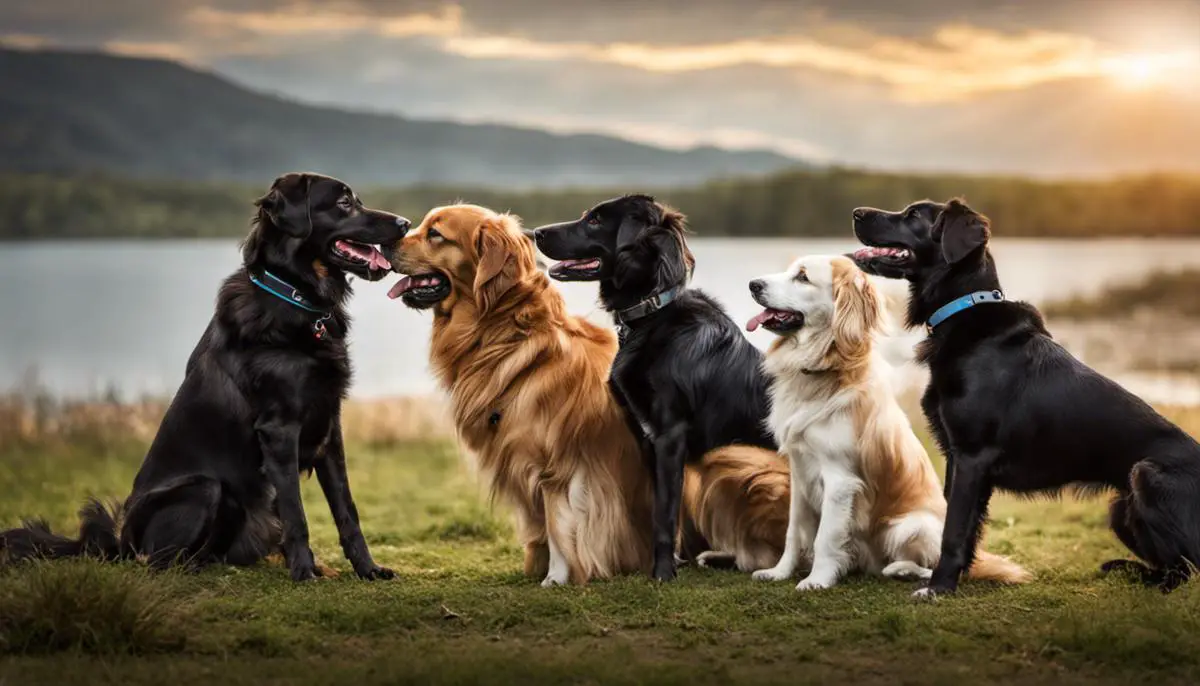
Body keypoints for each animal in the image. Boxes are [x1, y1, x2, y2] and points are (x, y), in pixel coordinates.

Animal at [0, 171, 408, 578]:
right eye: (343, 203)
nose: (404, 224)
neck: (294, 296)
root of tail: (119, 544)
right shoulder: (279, 429)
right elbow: (297, 515)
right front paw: (304, 572)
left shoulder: (329, 426)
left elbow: (346, 509)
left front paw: (367, 569)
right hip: (204, 488)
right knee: (157, 560)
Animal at [384, 203, 652, 585]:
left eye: (435, 233)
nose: (386, 240)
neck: (506, 334)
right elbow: (539, 526)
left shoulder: (556, 465)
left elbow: (558, 524)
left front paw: (555, 578)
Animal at [532, 195, 772, 580]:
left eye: (595, 220)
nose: (536, 232)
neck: (652, 314)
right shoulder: (647, 439)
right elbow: (661, 508)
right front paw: (670, 562)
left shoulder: (669, 435)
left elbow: (664, 512)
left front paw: (662, 572)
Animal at [849, 196, 1200, 594]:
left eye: (912, 215)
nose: (857, 213)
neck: (964, 308)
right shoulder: (959, 460)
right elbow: (965, 528)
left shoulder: (971, 456)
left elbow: (953, 530)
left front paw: (938, 587)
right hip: (1121, 508)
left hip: (1143, 475)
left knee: (1185, 570)